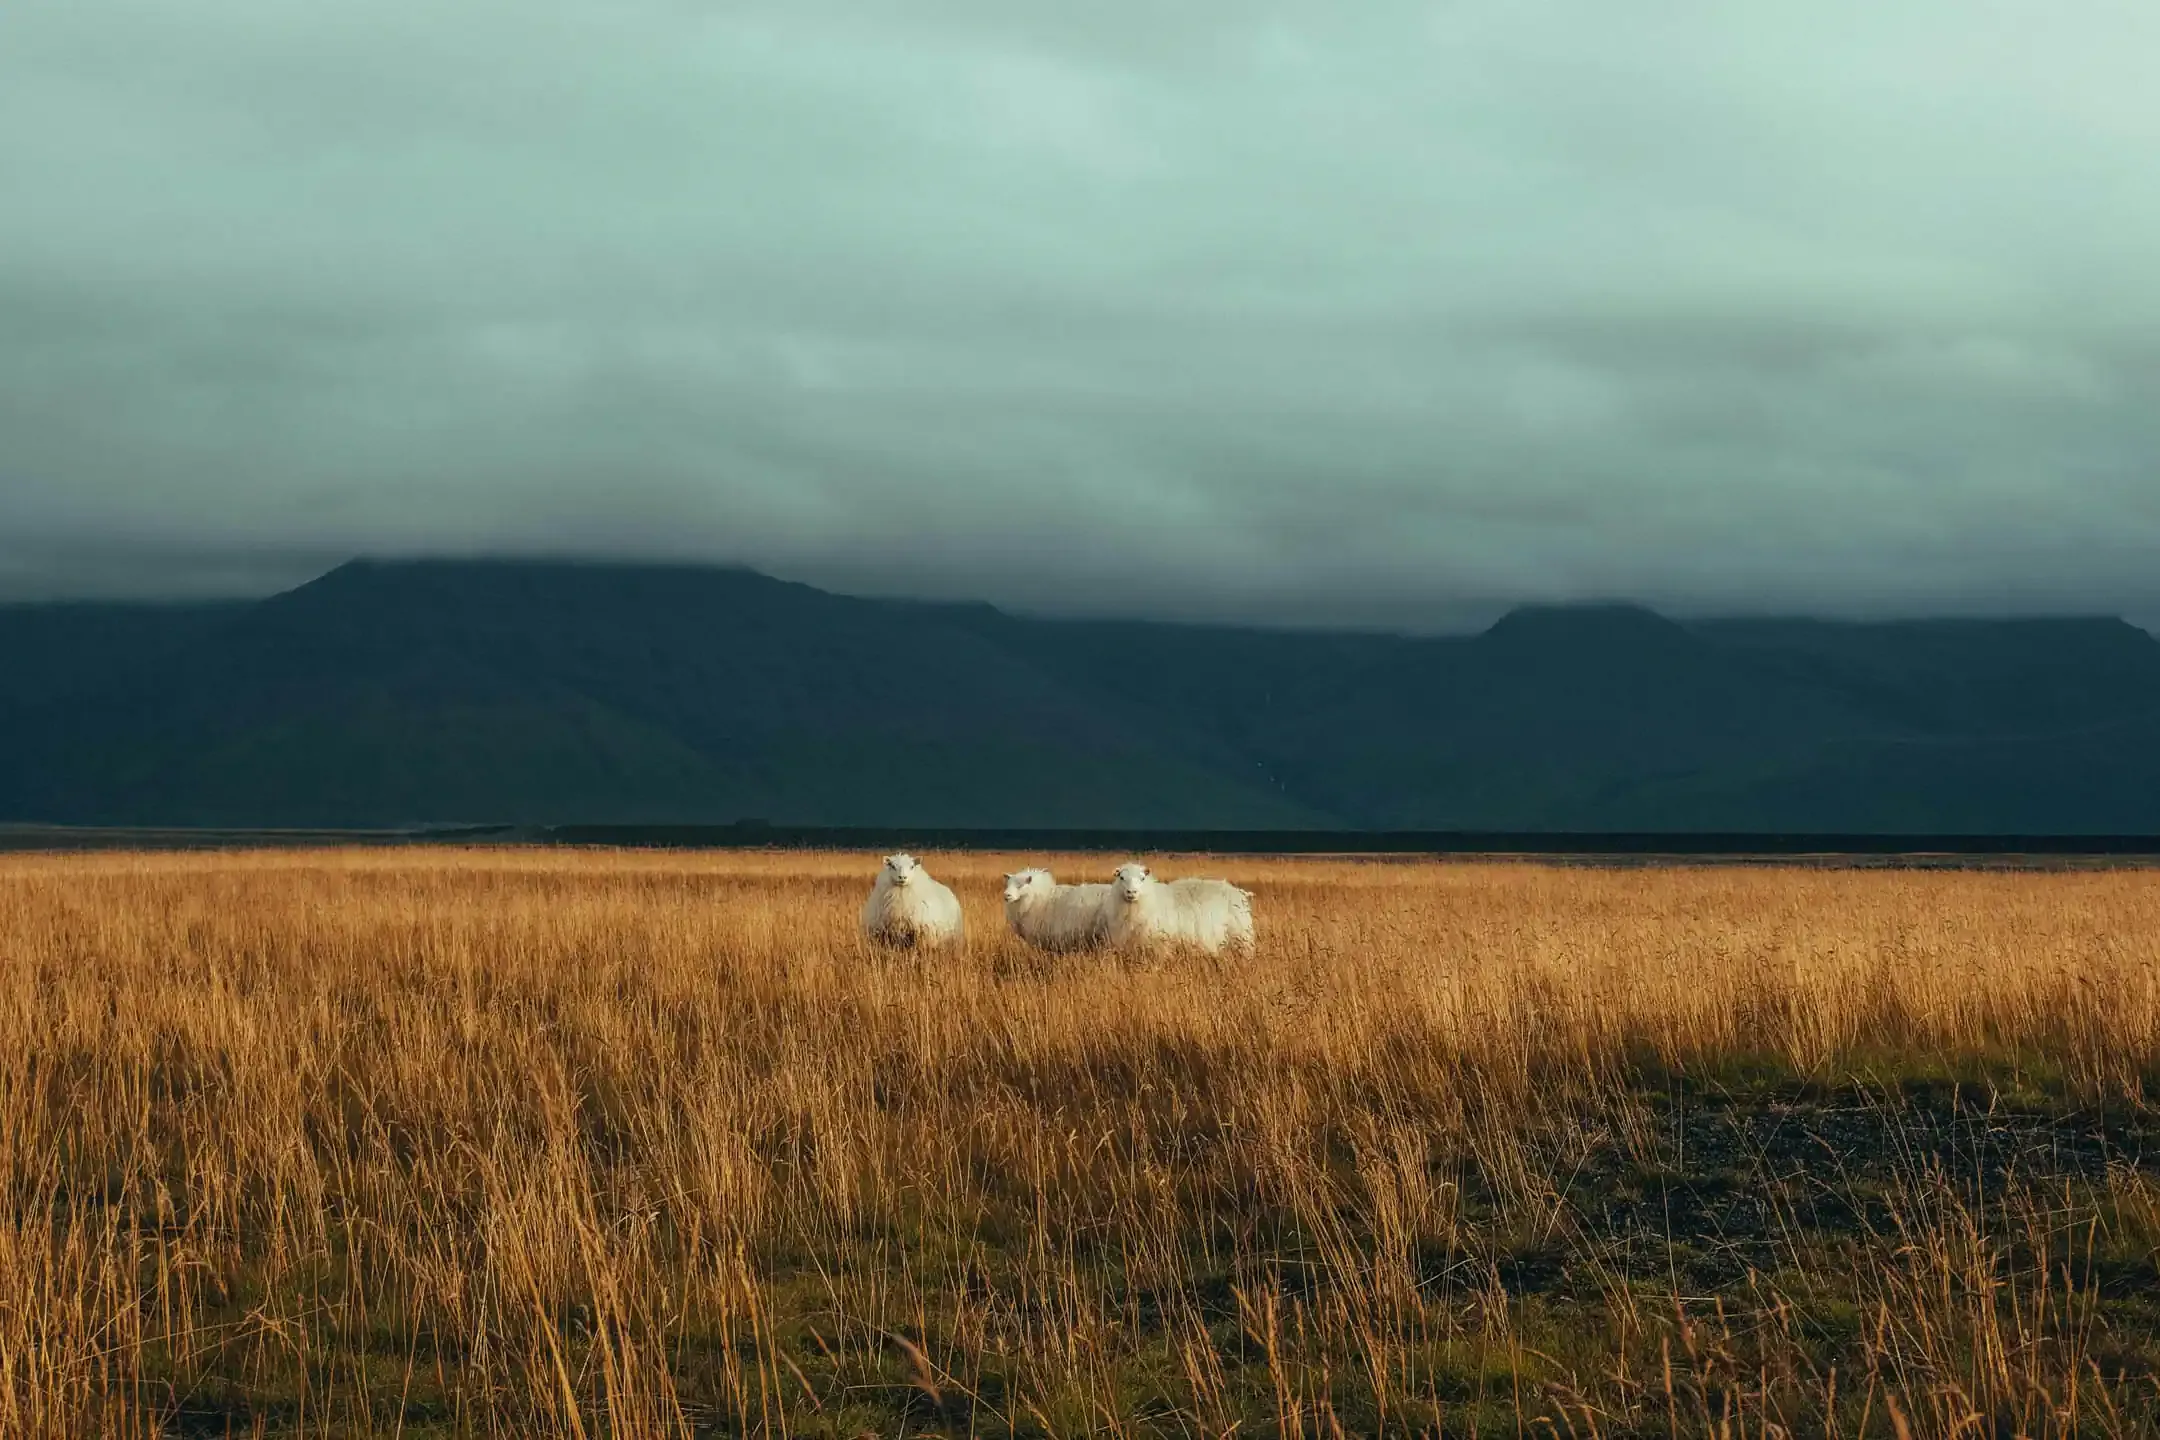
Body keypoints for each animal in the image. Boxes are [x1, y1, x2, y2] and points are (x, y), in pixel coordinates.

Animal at [1102, 862, 1254, 956]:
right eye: (1121, 877)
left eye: (1142, 878)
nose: (1131, 892)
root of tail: (1239, 892)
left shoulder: (1161, 947)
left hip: (1242, 940)